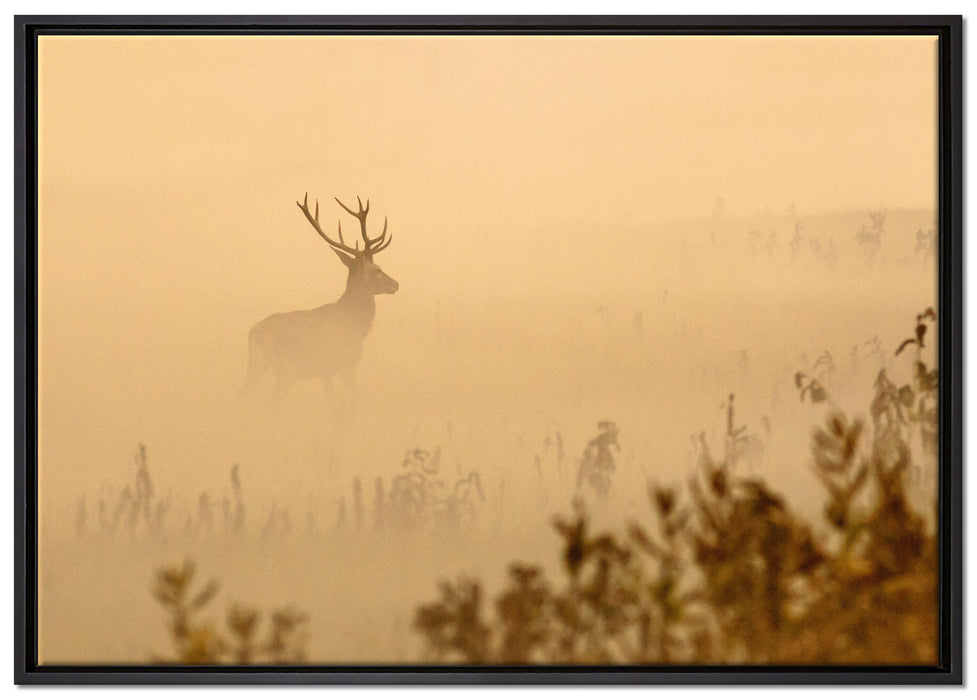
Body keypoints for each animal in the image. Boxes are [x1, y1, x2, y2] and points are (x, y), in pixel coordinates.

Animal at [240, 194, 398, 403]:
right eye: (376, 270)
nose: (395, 284)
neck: (355, 324)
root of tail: (251, 333)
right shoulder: (345, 364)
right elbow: (352, 400)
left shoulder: (326, 372)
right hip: (271, 364)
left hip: (274, 370)